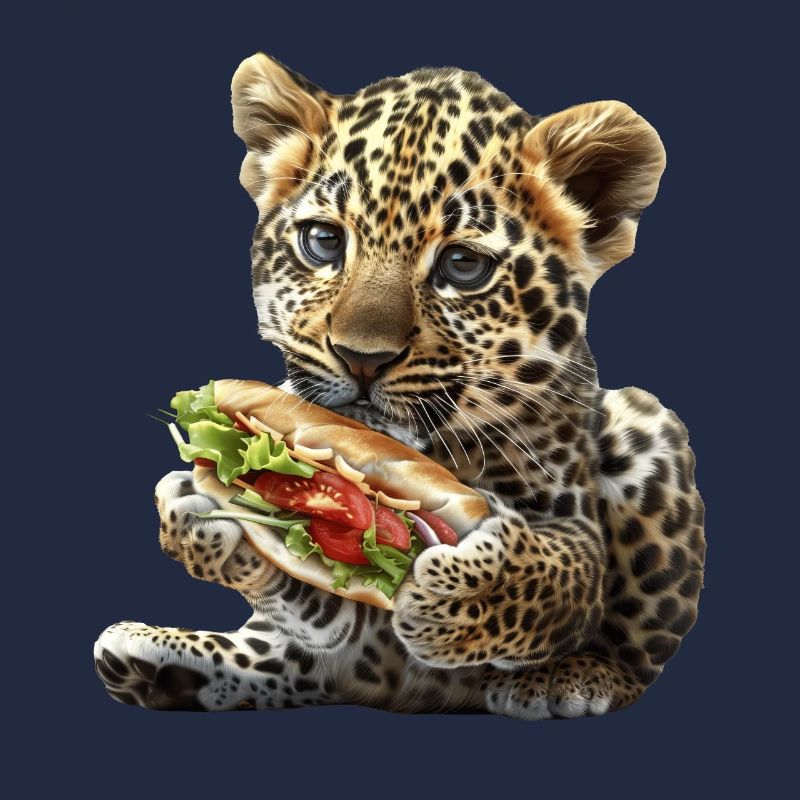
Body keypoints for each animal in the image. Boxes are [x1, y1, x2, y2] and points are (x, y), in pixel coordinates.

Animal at [94, 52, 706, 719]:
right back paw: (158, 660)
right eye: (324, 242)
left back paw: (576, 677)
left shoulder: (570, 516)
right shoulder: (339, 609)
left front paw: (464, 592)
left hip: (644, 424)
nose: (361, 359)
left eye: (463, 265)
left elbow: (565, 568)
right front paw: (194, 511)